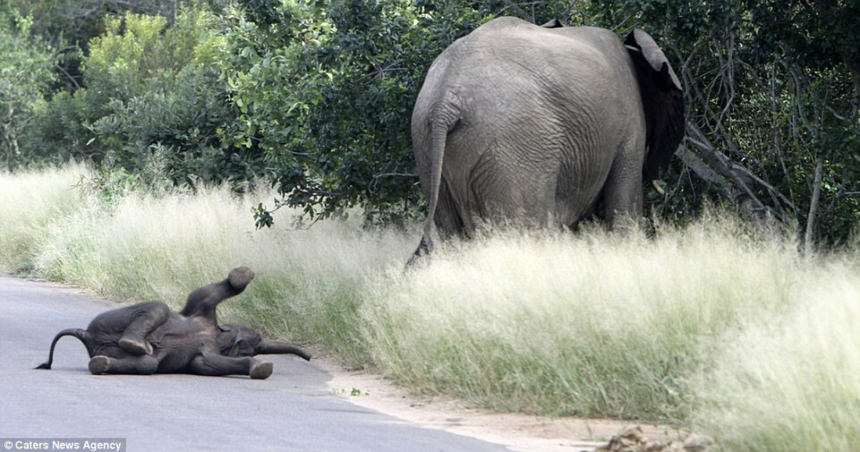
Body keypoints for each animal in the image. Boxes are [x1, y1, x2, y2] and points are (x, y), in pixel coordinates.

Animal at [38, 266, 312, 380]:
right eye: (258, 343)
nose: (309, 356)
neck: (217, 333)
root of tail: (87, 335)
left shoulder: (203, 357)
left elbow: (210, 363)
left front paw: (262, 368)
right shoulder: (201, 305)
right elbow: (209, 292)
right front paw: (243, 275)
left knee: (146, 364)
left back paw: (102, 363)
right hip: (106, 320)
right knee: (158, 307)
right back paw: (137, 343)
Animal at [410, 16, 684, 262]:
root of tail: (446, 100)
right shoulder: (630, 123)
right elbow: (624, 206)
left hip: (426, 146)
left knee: (452, 232)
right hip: (515, 148)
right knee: (528, 229)